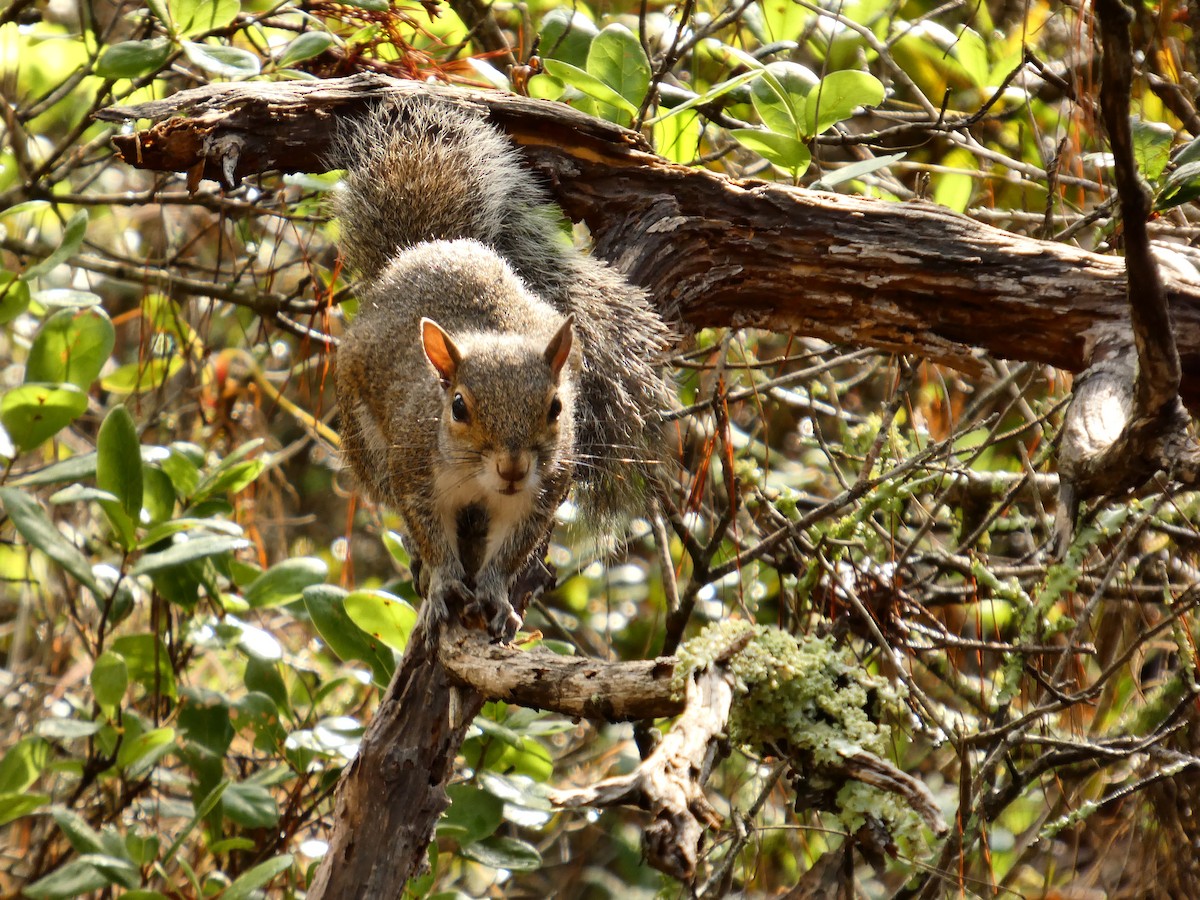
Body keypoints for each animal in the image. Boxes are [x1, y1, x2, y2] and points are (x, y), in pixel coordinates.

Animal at [333, 95, 672, 641]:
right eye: (458, 408)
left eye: (557, 407)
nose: (512, 468)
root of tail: (433, 246)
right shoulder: (415, 471)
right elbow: (429, 532)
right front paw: (443, 581)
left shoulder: (541, 494)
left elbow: (511, 553)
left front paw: (494, 593)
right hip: (367, 443)